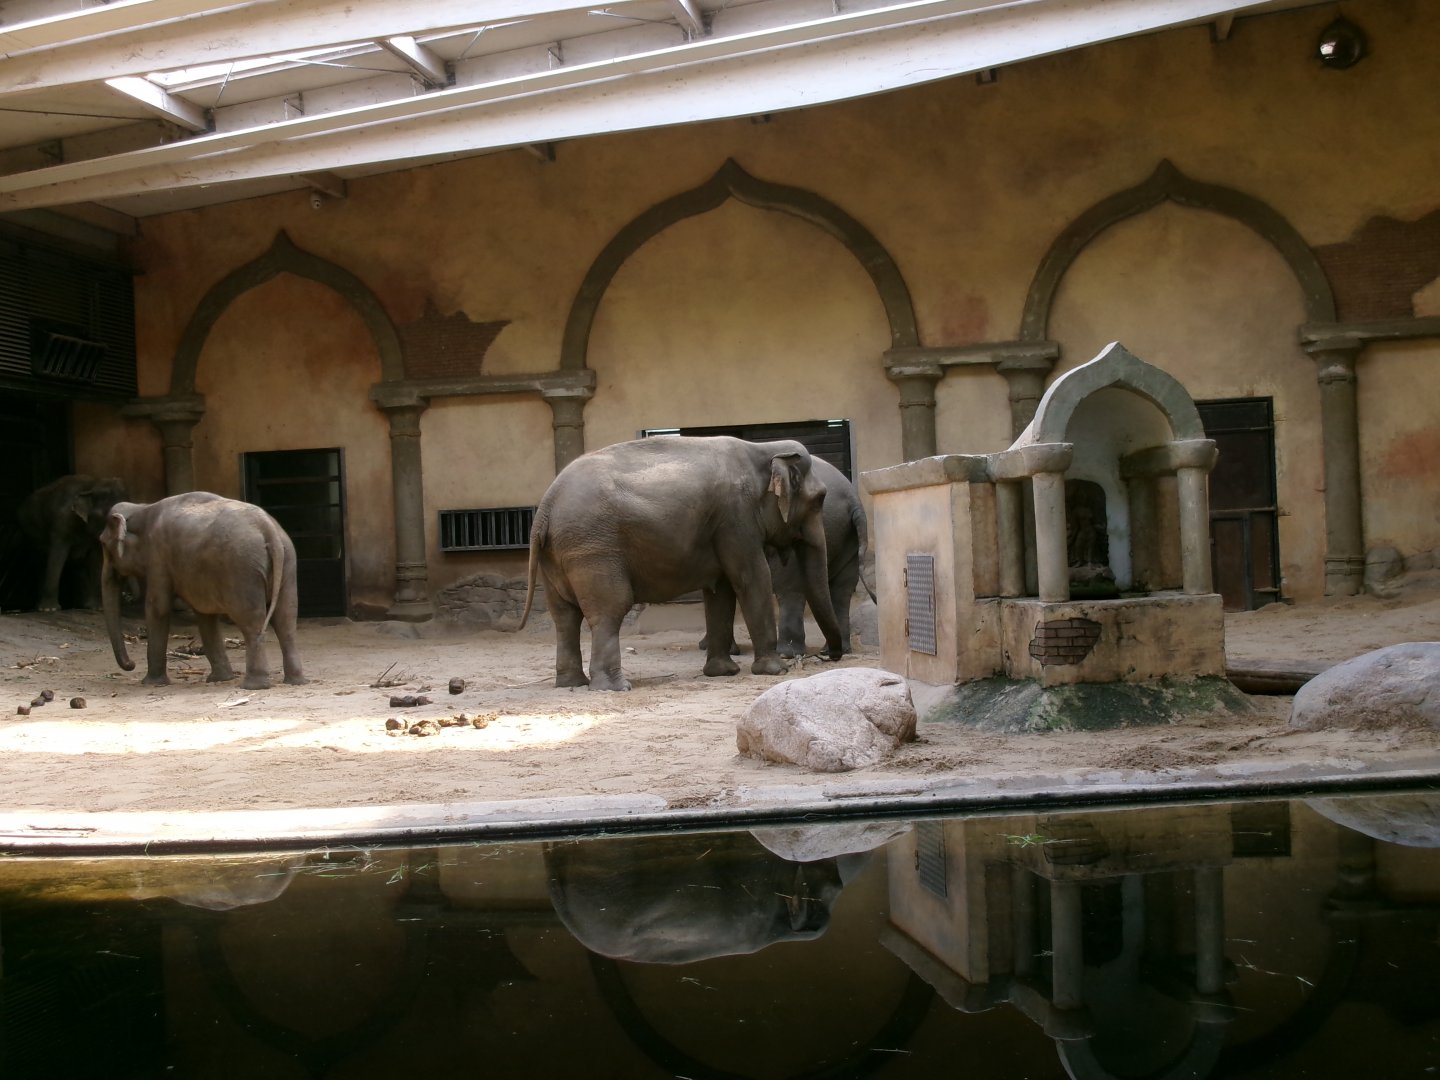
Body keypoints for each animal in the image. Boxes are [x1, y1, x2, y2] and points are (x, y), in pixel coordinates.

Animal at [16, 474, 129, 611]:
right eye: (112, 518)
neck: (92, 484)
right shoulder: (61, 522)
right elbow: (58, 555)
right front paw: (49, 609)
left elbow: (96, 558)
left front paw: (97, 608)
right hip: (30, 532)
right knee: (40, 561)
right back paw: (39, 607)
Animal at [99, 491, 307, 690]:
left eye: (103, 544)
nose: (131, 664)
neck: (141, 507)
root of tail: (268, 529)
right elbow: (205, 615)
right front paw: (220, 679)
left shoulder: (158, 556)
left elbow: (157, 608)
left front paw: (151, 683)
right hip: (288, 564)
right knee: (286, 619)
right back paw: (295, 681)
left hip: (243, 571)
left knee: (251, 622)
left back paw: (254, 686)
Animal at [518, 435, 843, 691]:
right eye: (819, 499)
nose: (827, 655)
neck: (763, 449)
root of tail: (545, 507)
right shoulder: (736, 518)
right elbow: (752, 577)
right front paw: (775, 671)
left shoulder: (724, 526)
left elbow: (721, 591)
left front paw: (723, 673)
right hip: (594, 549)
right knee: (609, 611)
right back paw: (615, 687)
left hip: (556, 556)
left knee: (565, 617)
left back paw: (571, 683)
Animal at [704, 456, 875, 658]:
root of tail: (853, 498)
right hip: (848, 537)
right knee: (841, 588)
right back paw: (834, 649)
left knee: (791, 589)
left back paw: (786, 652)